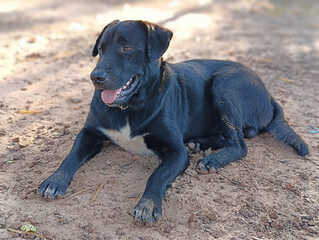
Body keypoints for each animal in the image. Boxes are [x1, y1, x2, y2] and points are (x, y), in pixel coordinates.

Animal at [38, 19, 310, 224]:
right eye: (101, 49)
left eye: (127, 48)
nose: (95, 77)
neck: (130, 107)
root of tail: (268, 92)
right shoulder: (90, 133)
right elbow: (70, 156)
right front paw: (55, 180)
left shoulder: (176, 152)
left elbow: (157, 176)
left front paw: (148, 204)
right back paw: (200, 143)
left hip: (225, 84)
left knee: (240, 144)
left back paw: (212, 159)